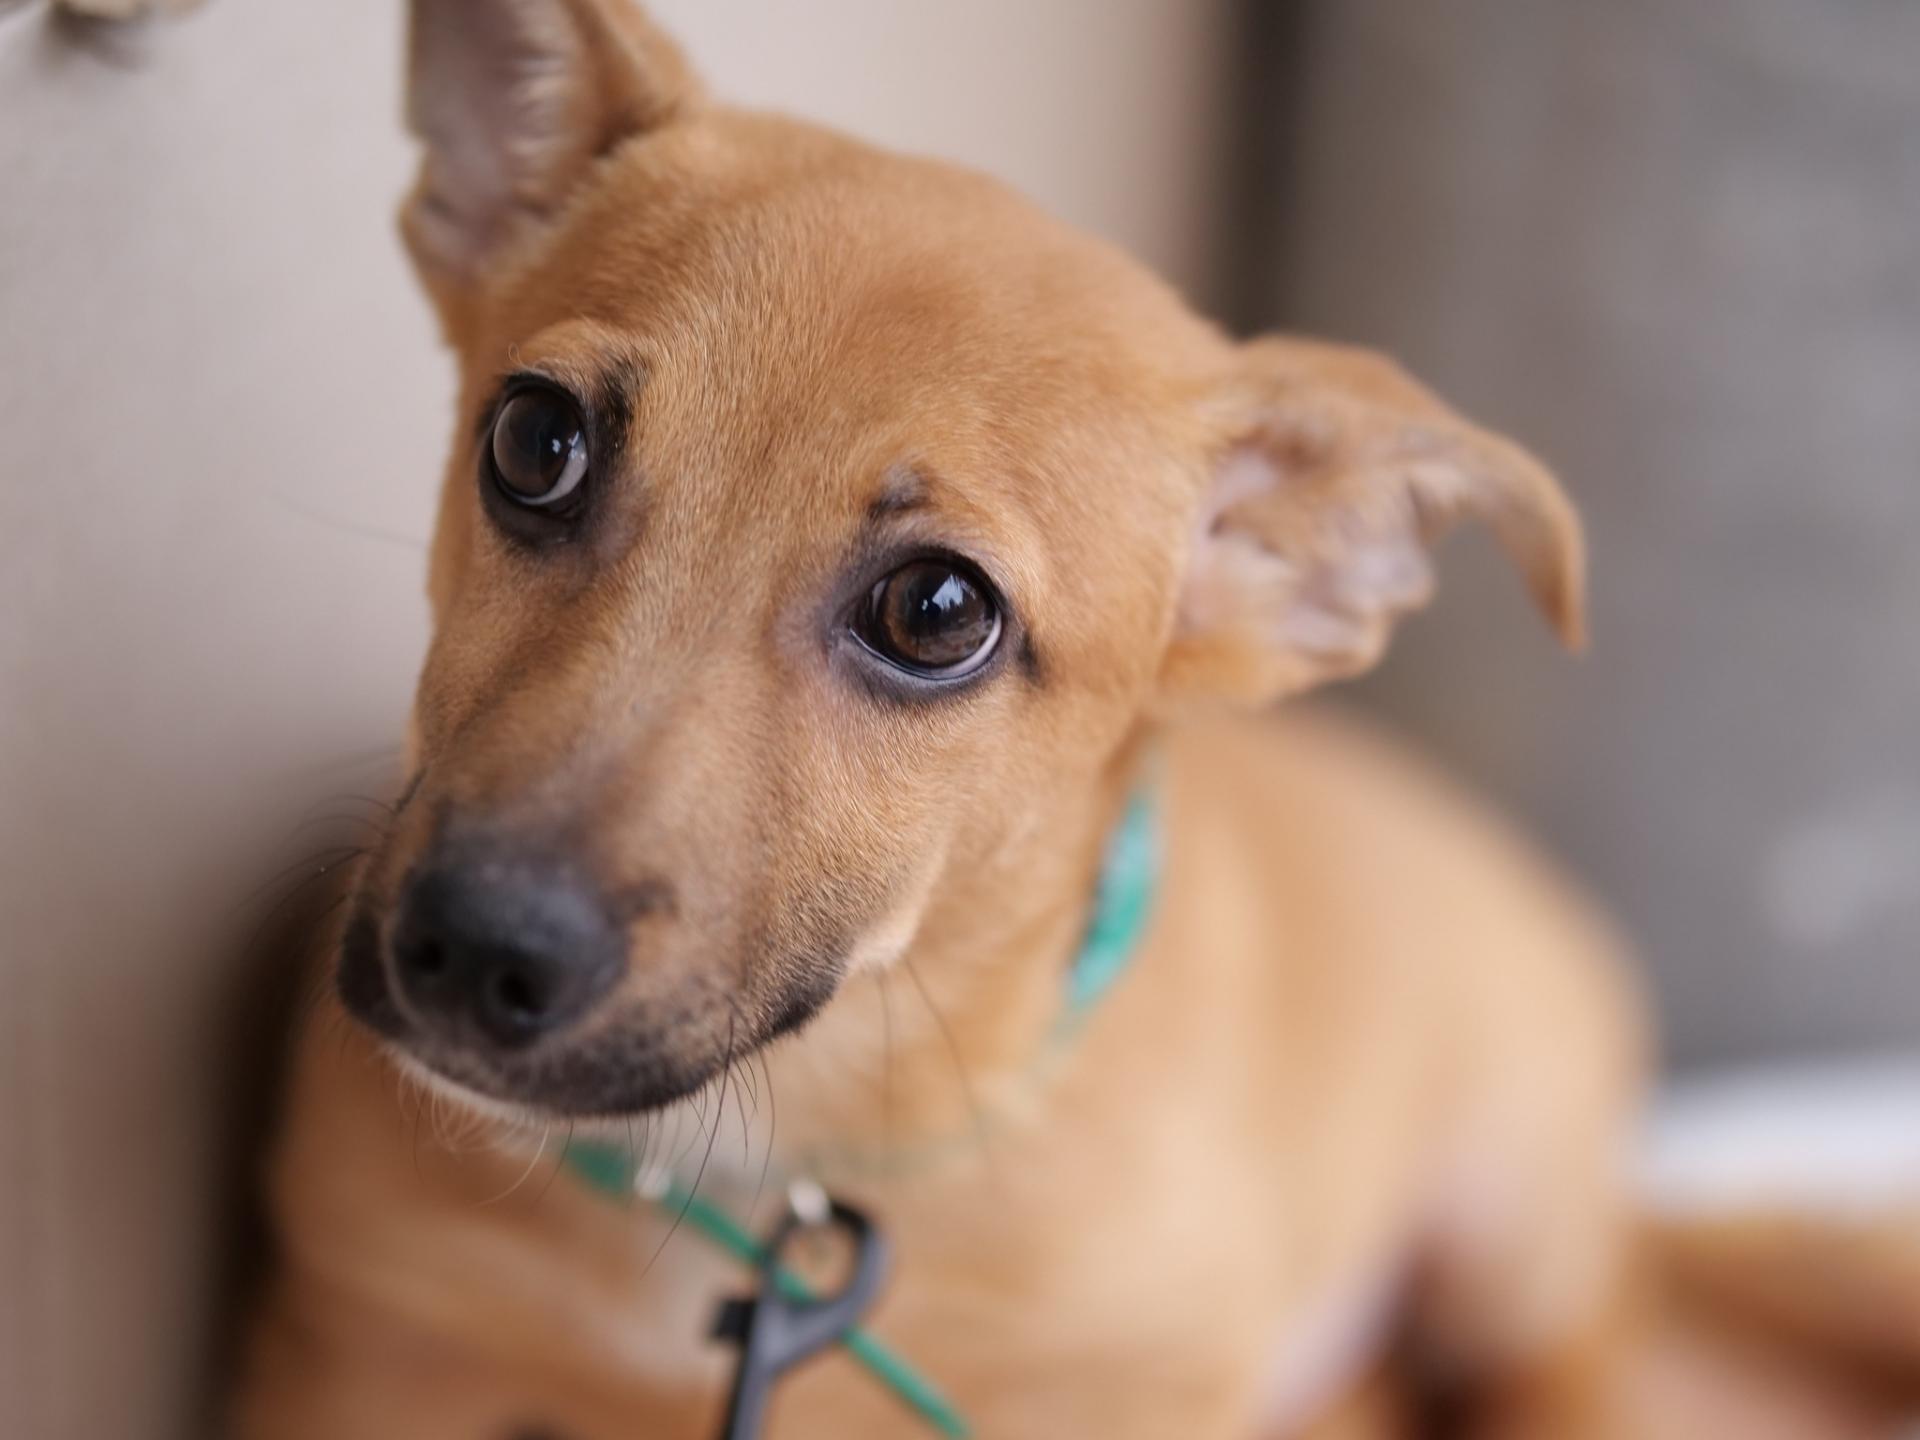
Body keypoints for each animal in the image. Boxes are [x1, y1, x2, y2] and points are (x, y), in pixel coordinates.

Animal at [235, 2, 1651, 1435]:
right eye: (533, 441)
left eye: (936, 610)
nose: (472, 953)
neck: (760, 1169)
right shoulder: (356, 1357)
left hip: (1512, 1240)